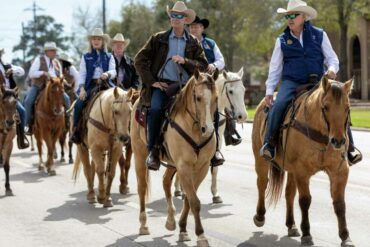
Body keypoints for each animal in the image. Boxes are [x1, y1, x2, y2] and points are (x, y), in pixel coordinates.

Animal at [132, 69, 220, 247]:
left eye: (216, 98)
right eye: (198, 97)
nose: (208, 130)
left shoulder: (201, 167)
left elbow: (189, 199)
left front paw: (183, 229)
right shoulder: (184, 166)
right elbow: (194, 201)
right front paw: (201, 236)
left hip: (172, 164)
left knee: (165, 182)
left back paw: (171, 221)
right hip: (139, 155)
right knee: (142, 188)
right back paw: (143, 225)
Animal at [174, 67, 249, 203]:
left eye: (244, 90)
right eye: (230, 91)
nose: (243, 116)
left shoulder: (217, 141)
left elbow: (214, 168)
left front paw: (215, 194)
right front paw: (185, 191)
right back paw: (179, 189)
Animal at [251, 76, 356, 246]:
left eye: (347, 108)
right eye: (325, 107)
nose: (338, 141)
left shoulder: (339, 171)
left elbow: (340, 204)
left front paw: (345, 237)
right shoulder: (302, 171)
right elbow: (305, 200)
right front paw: (307, 233)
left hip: (291, 170)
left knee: (289, 193)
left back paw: (291, 225)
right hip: (261, 160)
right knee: (262, 183)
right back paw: (260, 216)